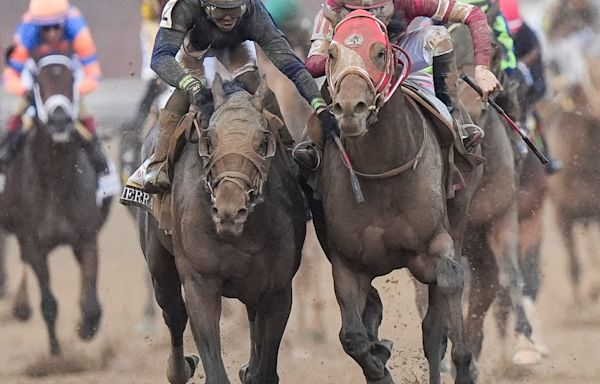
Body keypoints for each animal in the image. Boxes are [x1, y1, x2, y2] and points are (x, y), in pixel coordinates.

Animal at [0, 53, 111, 354]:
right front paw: (57, 354)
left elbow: (92, 304)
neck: (56, 180)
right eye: (38, 81)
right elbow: (48, 304)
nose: (59, 119)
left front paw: (85, 327)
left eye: (72, 79)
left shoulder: (86, 238)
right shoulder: (34, 244)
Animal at [308, 12, 480, 384]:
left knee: (435, 326)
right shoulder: (347, 264)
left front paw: (465, 365)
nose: (350, 109)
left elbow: (450, 282)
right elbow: (352, 337)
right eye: (332, 54)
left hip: (459, 211)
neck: (382, 171)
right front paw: (379, 363)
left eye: (380, 52)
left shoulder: (435, 245)